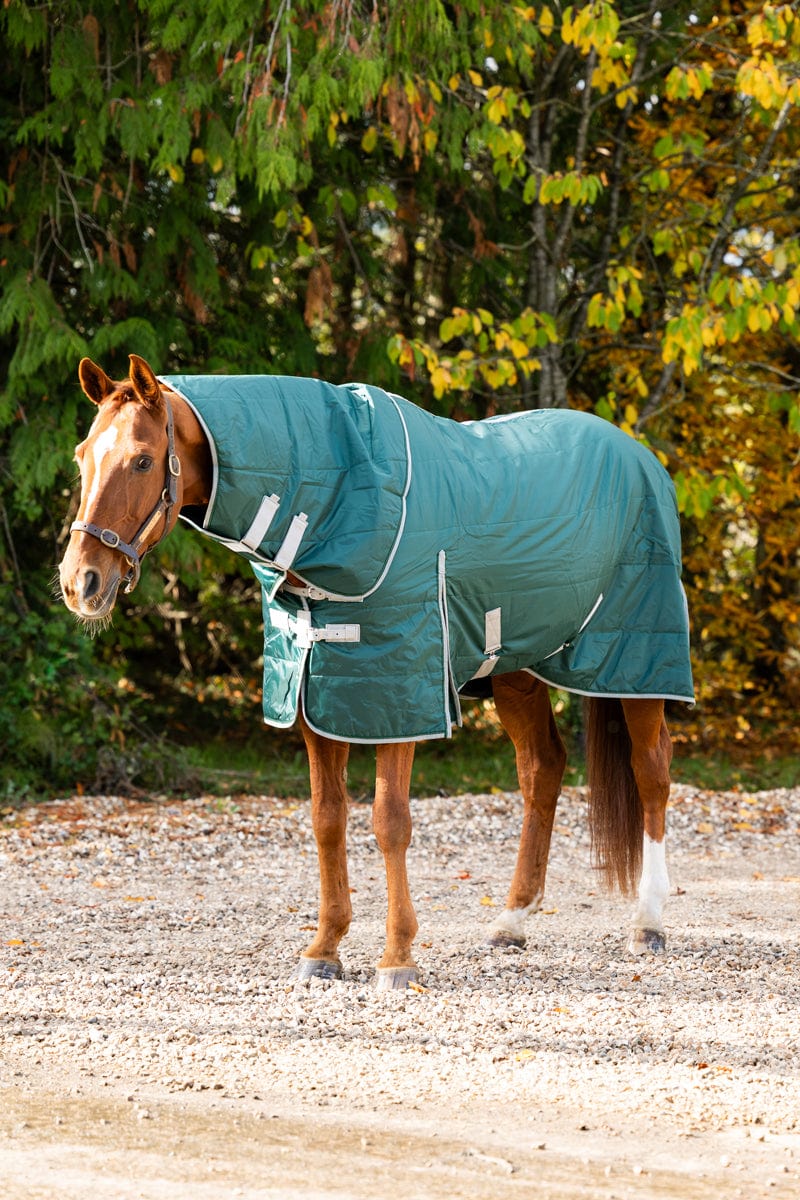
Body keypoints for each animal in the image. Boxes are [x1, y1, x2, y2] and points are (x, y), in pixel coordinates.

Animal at [59, 354, 691, 990]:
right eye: (82, 455)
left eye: (142, 459)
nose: (80, 582)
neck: (338, 497)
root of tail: (642, 458)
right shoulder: (316, 691)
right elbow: (327, 819)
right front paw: (324, 948)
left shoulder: (402, 694)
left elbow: (390, 821)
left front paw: (398, 957)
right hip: (516, 670)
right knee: (542, 769)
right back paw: (511, 922)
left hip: (636, 659)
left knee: (652, 769)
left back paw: (648, 923)